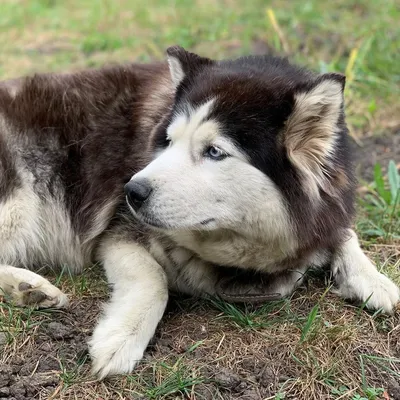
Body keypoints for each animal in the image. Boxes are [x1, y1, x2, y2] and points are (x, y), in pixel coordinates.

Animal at [0, 46, 398, 378]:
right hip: (19, 201)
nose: (131, 192)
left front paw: (373, 279)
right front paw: (122, 337)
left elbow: (343, 231)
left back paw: (26, 289)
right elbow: (155, 279)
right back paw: (28, 286)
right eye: (168, 142)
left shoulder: (326, 206)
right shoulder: (118, 231)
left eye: (214, 152)